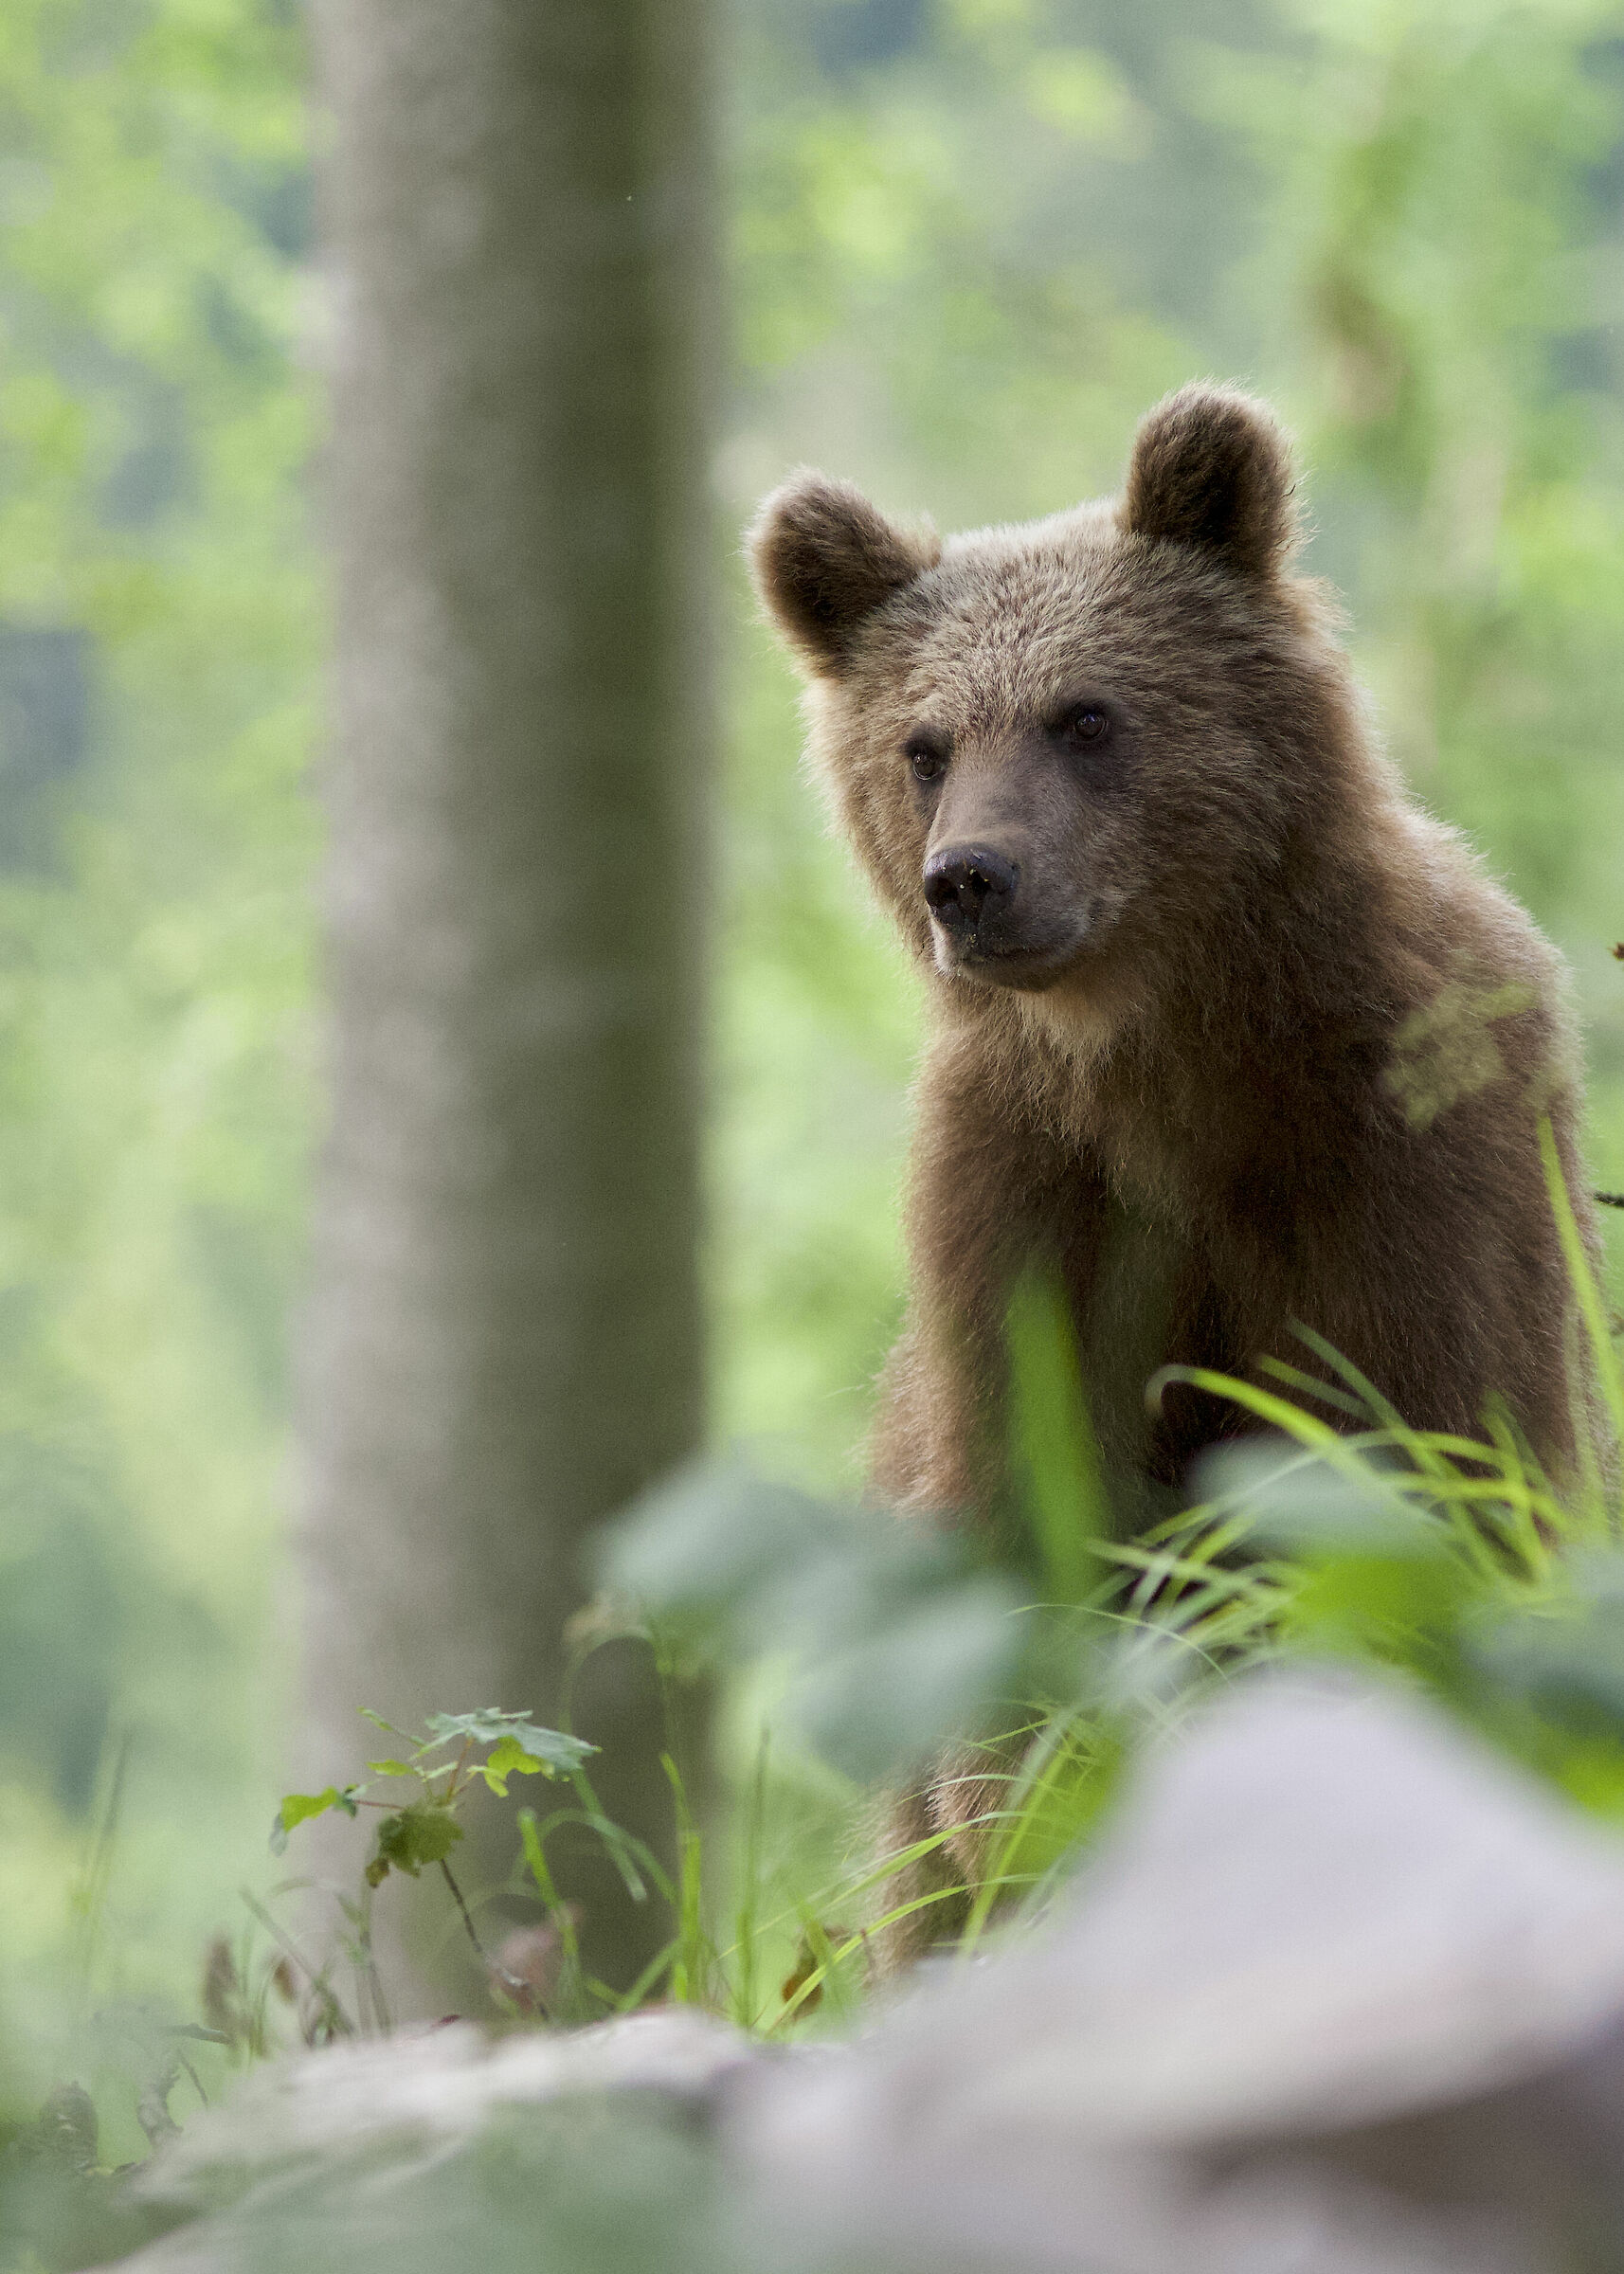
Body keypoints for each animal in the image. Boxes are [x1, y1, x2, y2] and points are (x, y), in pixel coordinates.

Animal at [749, 383, 1605, 1948]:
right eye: (921, 742)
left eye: (1085, 715)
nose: (970, 879)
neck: (1175, 1060)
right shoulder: (1029, 1191)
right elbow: (1033, 1525)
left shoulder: (1415, 1153)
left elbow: (1445, 1466)